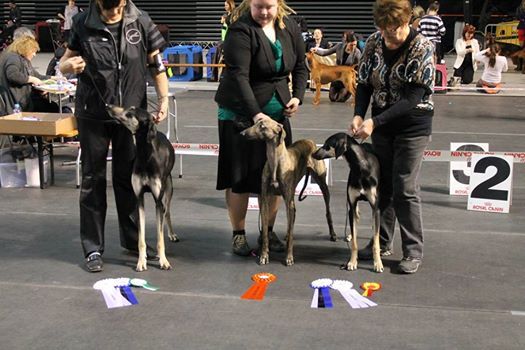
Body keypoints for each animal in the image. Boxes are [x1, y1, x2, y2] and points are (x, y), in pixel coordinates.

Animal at [107, 105, 179, 272]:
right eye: (129, 108)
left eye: (130, 113)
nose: (109, 107)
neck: (146, 155)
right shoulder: (139, 198)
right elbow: (141, 238)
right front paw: (141, 261)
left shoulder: (158, 200)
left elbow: (160, 237)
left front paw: (164, 261)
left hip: (168, 188)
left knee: (167, 211)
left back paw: (171, 234)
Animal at [238, 117, 334, 266]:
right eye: (256, 123)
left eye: (263, 126)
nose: (242, 133)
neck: (275, 161)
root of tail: (310, 141)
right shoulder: (264, 200)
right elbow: (265, 232)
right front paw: (264, 256)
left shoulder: (287, 199)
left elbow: (291, 236)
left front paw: (289, 257)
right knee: (292, 219)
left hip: (322, 185)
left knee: (327, 210)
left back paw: (333, 234)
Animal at [312, 133, 380, 272]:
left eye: (328, 145)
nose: (313, 154)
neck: (361, 167)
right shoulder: (352, 206)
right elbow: (354, 242)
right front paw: (352, 262)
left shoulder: (375, 208)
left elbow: (376, 241)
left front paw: (378, 264)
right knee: (357, 218)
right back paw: (349, 235)